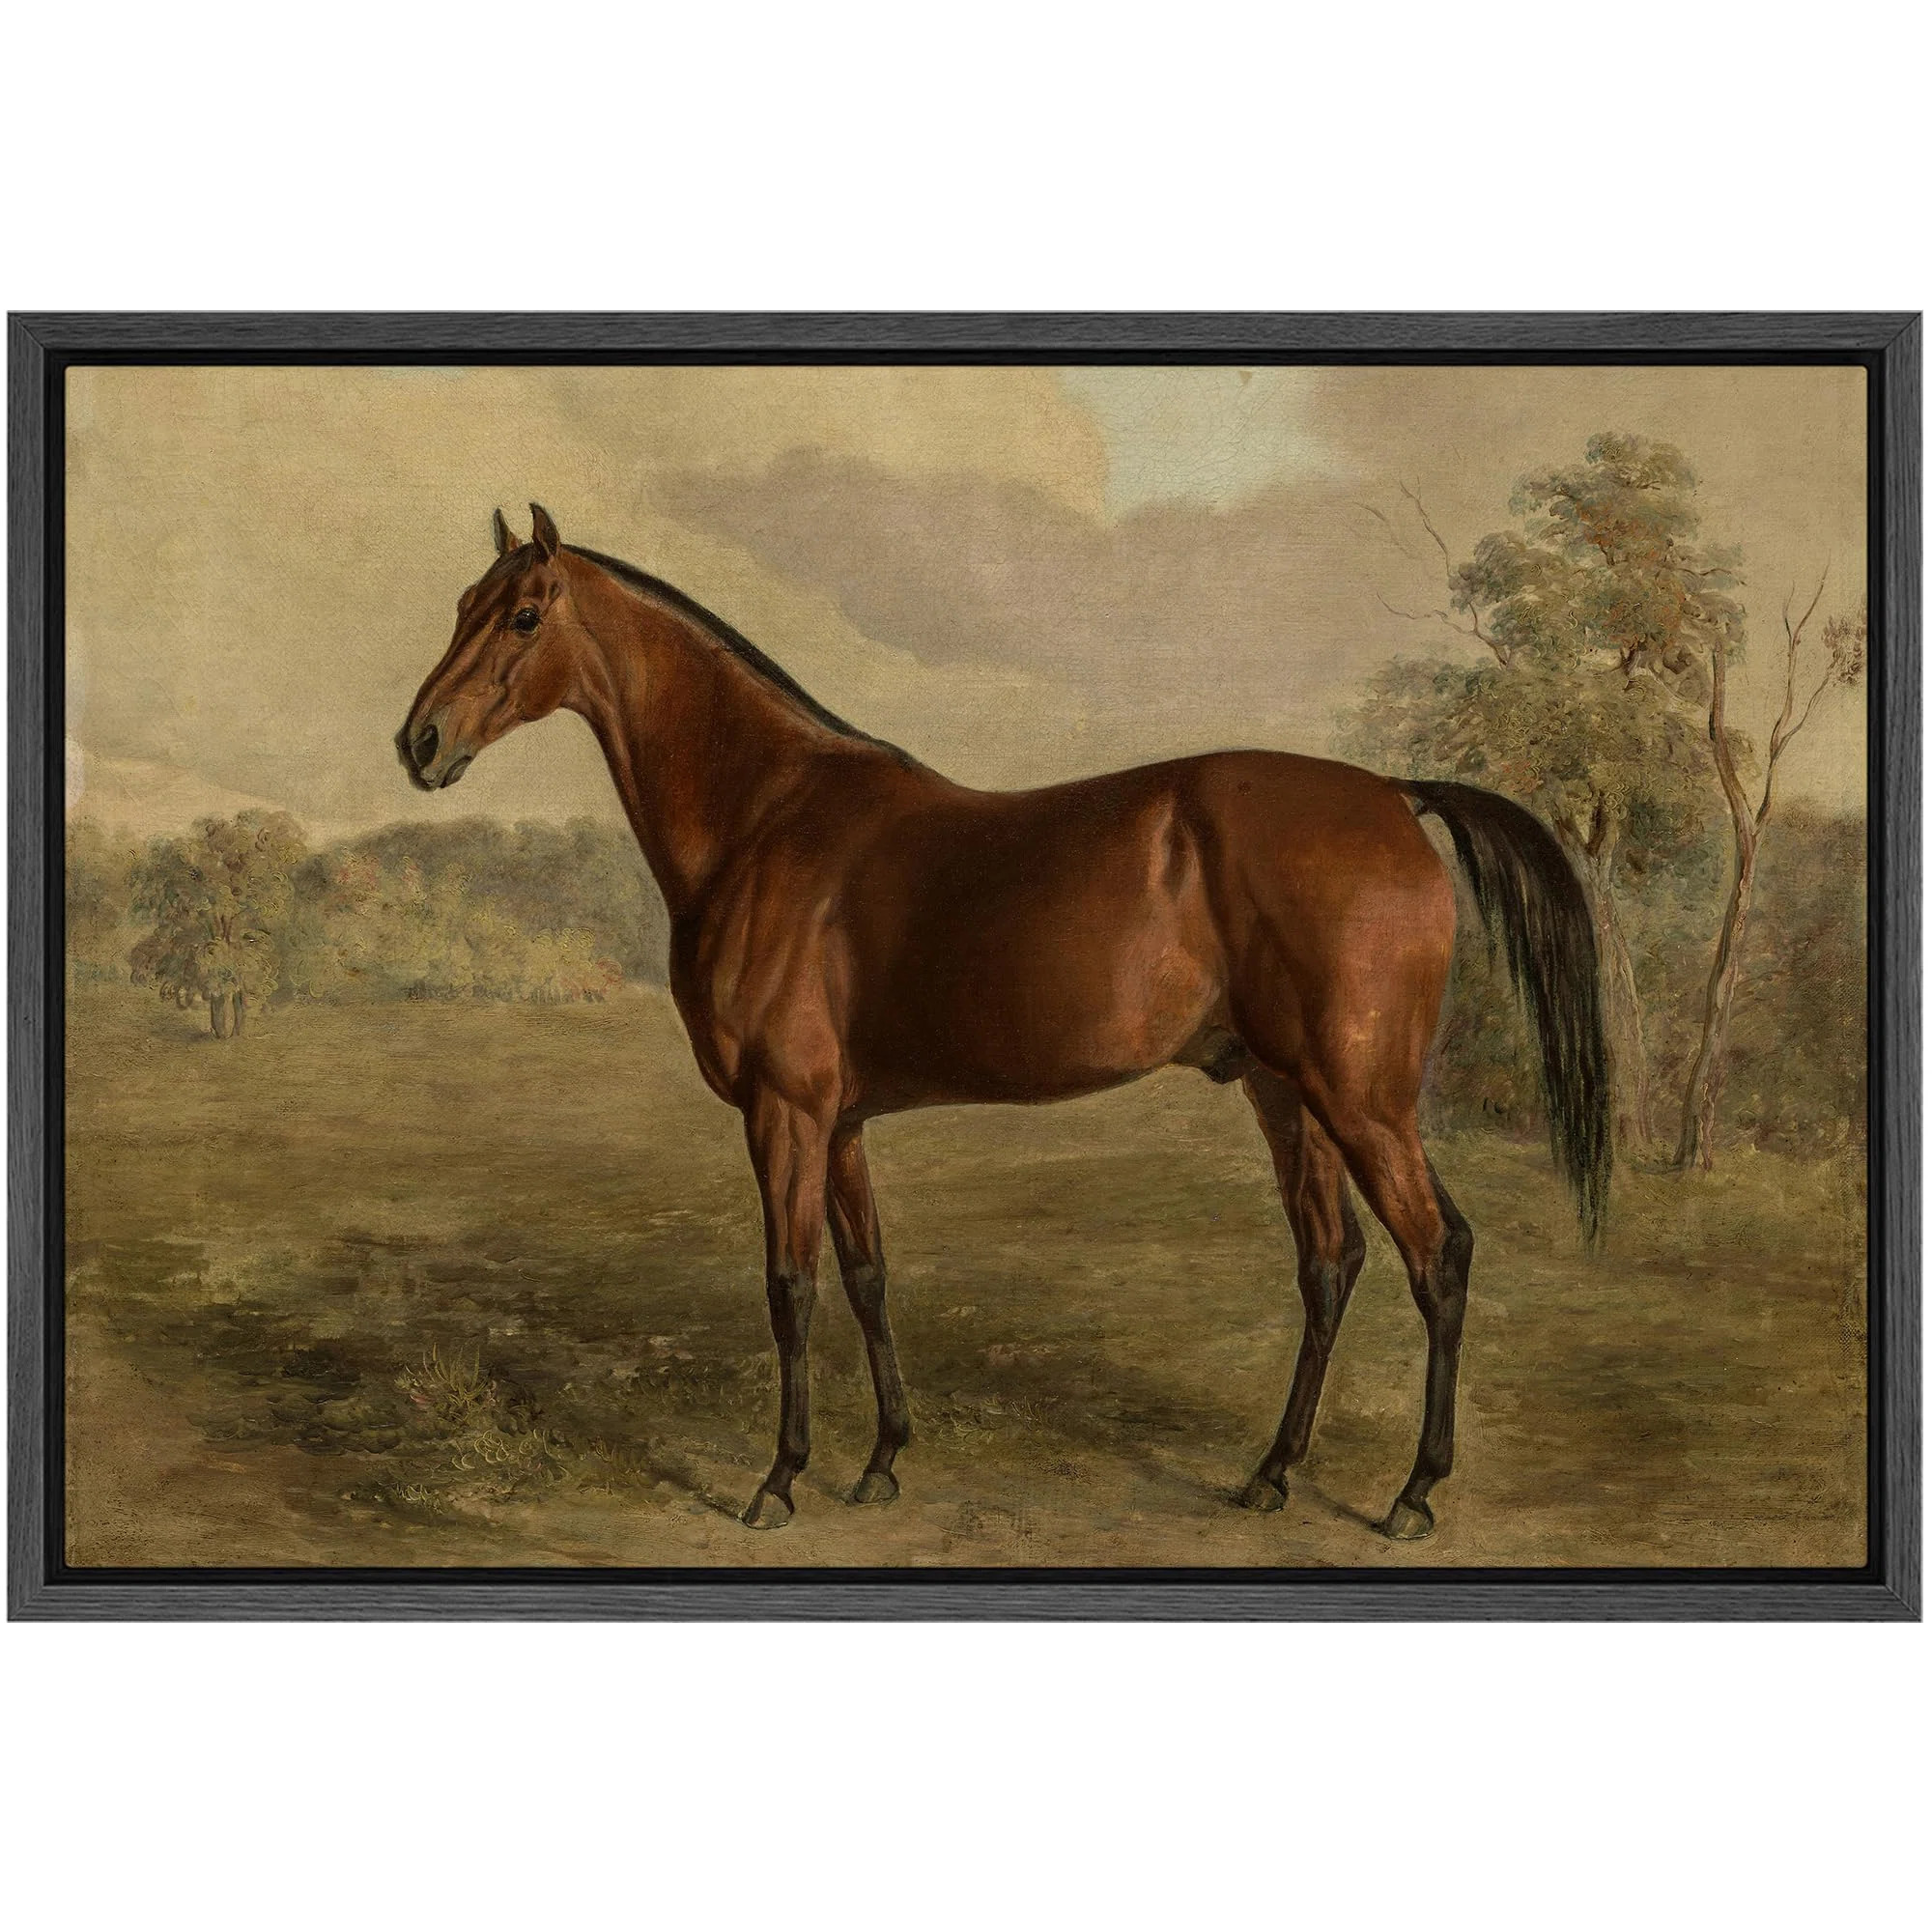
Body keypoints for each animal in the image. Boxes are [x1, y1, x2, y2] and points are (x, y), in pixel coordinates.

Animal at [399, 504, 1610, 1539]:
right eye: (459, 601)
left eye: (521, 614)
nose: (418, 742)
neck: (766, 818)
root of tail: (1393, 796)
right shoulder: (840, 1122)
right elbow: (867, 1274)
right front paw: (881, 1461)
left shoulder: (783, 1112)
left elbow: (789, 1286)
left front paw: (778, 1479)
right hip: (1287, 1092)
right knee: (1330, 1260)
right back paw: (1270, 1472)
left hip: (1361, 1098)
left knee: (1435, 1253)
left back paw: (1413, 1492)